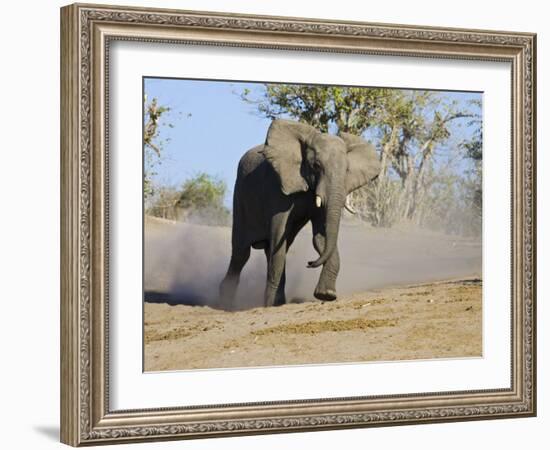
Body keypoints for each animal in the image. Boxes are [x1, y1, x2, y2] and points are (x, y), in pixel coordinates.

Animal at [218, 118, 382, 310]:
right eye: (316, 166)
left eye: (347, 169)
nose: (309, 263)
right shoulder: (277, 187)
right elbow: (278, 236)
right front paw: (269, 306)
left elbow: (320, 238)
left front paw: (326, 295)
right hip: (240, 199)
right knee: (241, 253)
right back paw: (225, 303)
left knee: (273, 248)